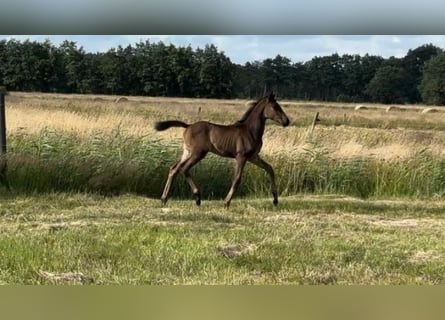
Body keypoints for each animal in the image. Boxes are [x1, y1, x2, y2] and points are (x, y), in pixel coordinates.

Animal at [154, 92, 290, 208]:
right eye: (275, 107)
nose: (287, 121)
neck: (250, 130)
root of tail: (188, 126)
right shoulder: (241, 156)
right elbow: (237, 179)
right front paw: (226, 202)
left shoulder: (253, 157)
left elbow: (270, 169)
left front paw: (275, 200)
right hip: (198, 153)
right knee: (184, 169)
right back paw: (197, 197)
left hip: (187, 152)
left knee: (174, 169)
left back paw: (164, 199)